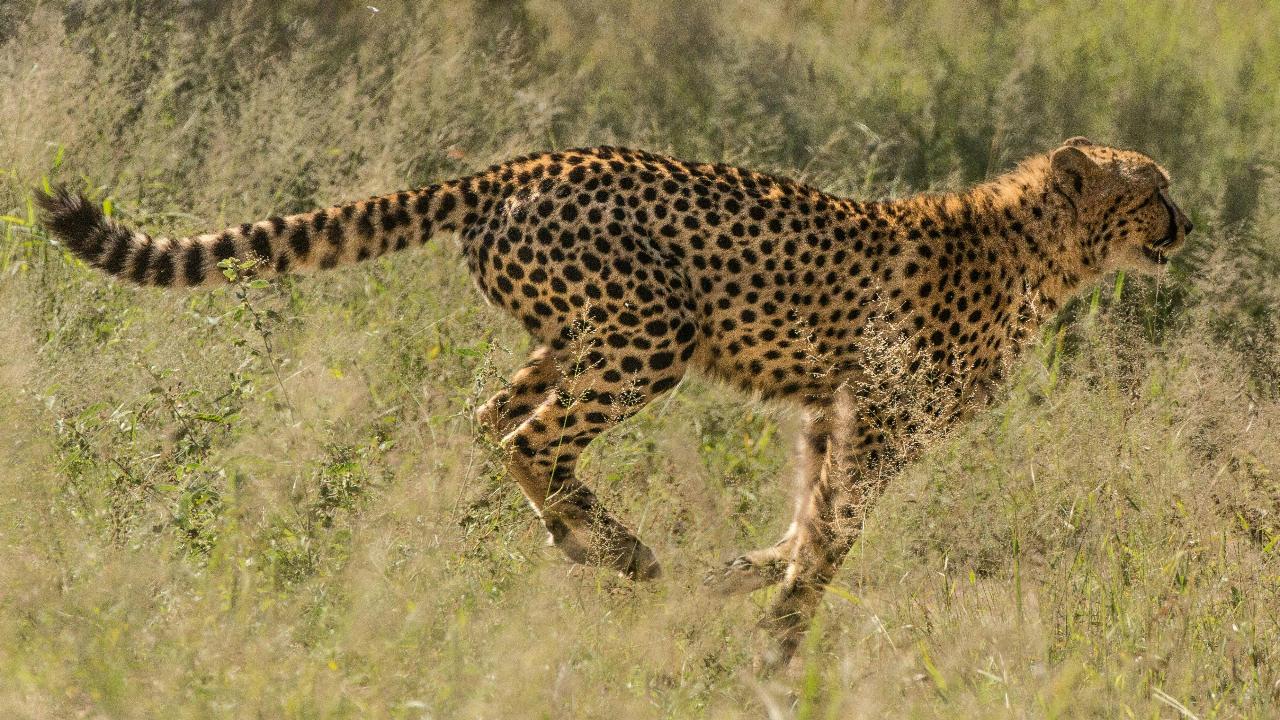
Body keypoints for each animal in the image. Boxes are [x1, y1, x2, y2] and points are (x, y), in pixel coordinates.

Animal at [37, 136, 1193, 670]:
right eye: (1153, 190)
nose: (1186, 227)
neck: (1044, 249)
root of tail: (524, 160)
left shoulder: (831, 414)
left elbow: (807, 517)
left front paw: (748, 581)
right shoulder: (880, 418)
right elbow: (832, 536)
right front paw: (780, 635)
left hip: (568, 335)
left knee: (489, 419)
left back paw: (583, 540)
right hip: (649, 333)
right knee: (530, 435)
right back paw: (620, 551)